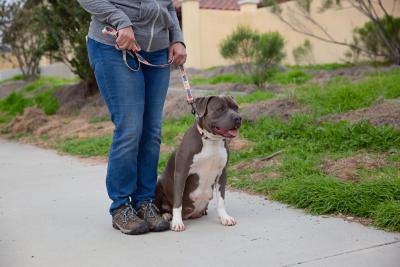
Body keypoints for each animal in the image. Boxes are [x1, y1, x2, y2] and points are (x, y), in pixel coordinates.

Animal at [155, 96, 242, 232]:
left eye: (236, 107)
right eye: (220, 109)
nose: (238, 118)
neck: (212, 140)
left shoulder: (222, 173)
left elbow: (221, 199)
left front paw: (224, 217)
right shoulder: (181, 173)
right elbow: (178, 201)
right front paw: (177, 222)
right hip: (158, 184)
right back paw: (166, 215)